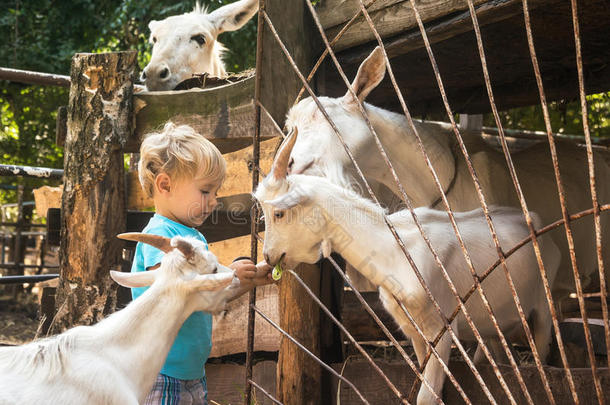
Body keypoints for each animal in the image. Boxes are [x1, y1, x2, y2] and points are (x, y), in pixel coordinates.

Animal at [254, 131, 560, 402]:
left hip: (544, 308)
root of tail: (533, 222)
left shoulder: (442, 329)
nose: (269, 257)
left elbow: (426, 396)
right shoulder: (417, 333)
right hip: (492, 323)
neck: (396, 252)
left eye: (278, 213)